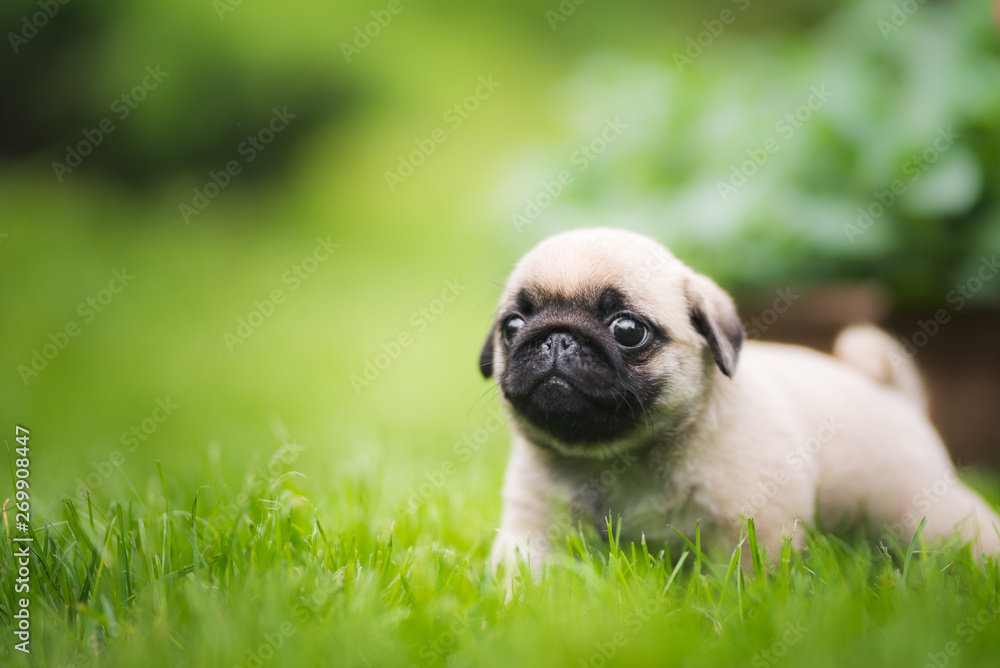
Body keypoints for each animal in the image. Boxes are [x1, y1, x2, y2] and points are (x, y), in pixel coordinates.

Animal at [478, 227, 1000, 572]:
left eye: (627, 330)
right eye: (512, 327)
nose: (556, 338)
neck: (622, 455)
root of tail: (893, 394)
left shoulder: (754, 527)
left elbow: (744, 582)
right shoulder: (532, 524)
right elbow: (524, 573)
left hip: (925, 508)